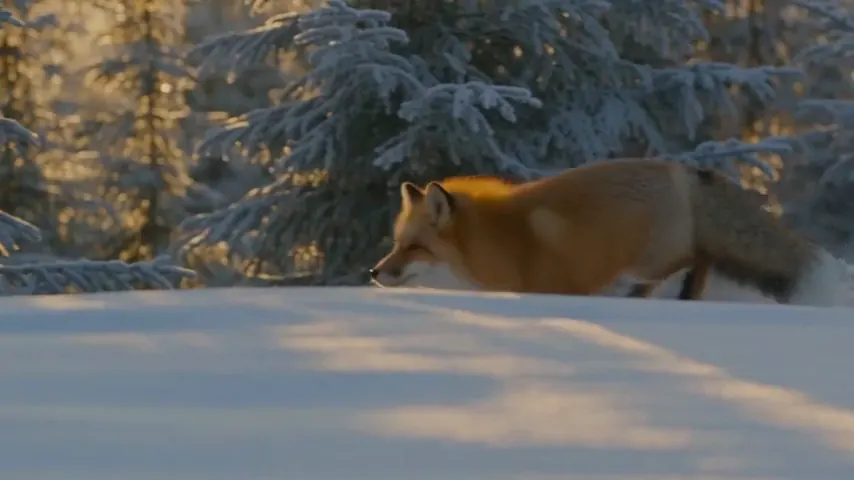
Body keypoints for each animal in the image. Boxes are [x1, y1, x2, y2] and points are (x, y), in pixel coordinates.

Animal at [369, 158, 850, 306]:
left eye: (415, 248)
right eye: (397, 245)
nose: (374, 273)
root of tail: (681, 169)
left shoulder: (552, 288)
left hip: (653, 255)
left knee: (693, 262)